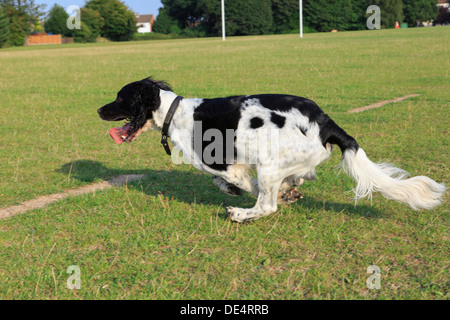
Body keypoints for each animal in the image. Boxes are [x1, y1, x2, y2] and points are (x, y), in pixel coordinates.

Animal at [96, 78, 444, 222]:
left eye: (121, 98)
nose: (99, 109)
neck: (174, 112)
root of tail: (326, 122)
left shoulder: (225, 163)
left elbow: (241, 182)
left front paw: (243, 194)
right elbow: (224, 182)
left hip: (269, 163)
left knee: (266, 206)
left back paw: (240, 214)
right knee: (293, 181)